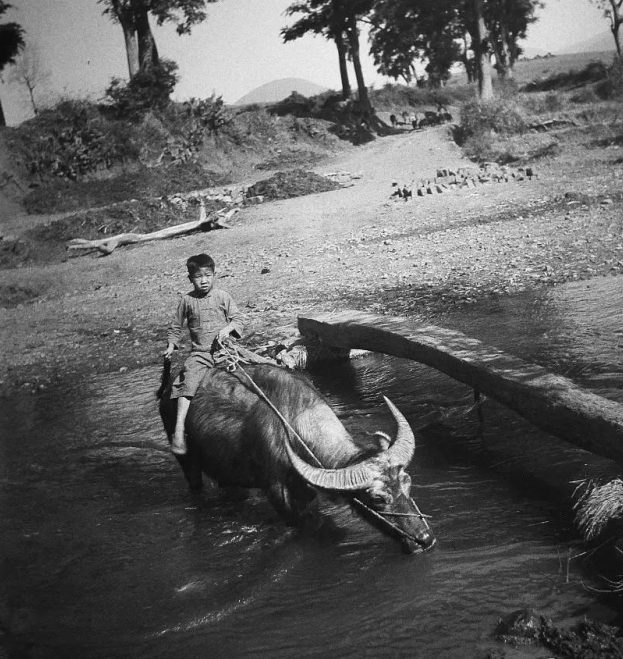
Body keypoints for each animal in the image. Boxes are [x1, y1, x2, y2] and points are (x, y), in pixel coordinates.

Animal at [158, 364, 436, 556]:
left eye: (407, 482)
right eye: (377, 499)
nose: (425, 539)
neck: (295, 430)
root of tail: (167, 387)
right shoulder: (281, 497)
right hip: (187, 461)